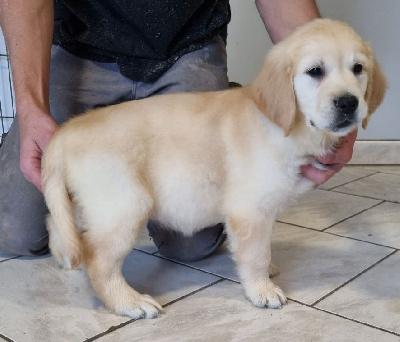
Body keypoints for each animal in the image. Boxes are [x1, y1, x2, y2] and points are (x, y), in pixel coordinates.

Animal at [42, 18, 386, 318]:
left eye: (358, 69)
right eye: (315, 71)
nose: (348, 103)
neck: (286, 126)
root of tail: (63, 135)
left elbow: (258, 248)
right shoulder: (250, 209)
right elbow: (256, 253)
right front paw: (262, 290)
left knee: (59, 225)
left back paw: (64, 257)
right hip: (125, 205)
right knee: (97, 260)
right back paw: (130, 302)